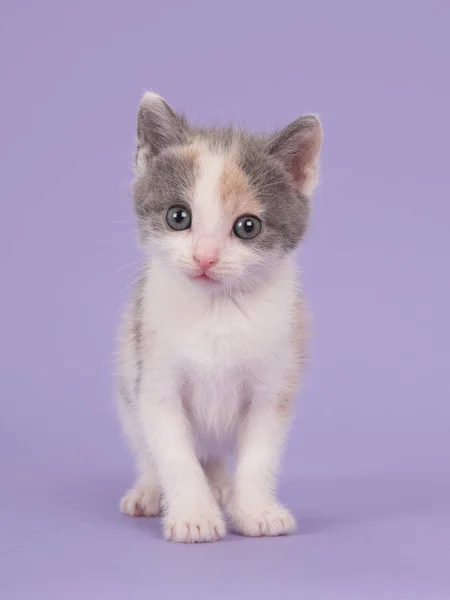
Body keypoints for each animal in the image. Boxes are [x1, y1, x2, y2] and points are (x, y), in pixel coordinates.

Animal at [115, 92, 320, 544]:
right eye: (178, 217)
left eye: (247, 226)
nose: (205, 257)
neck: (216, 310)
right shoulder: (154, 381)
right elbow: (174, 455)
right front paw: (194, 515)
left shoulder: (273, 383)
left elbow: (260, 455)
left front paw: (255, 511)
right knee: (147, 451)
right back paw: (149, 491)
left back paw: (223, 488)